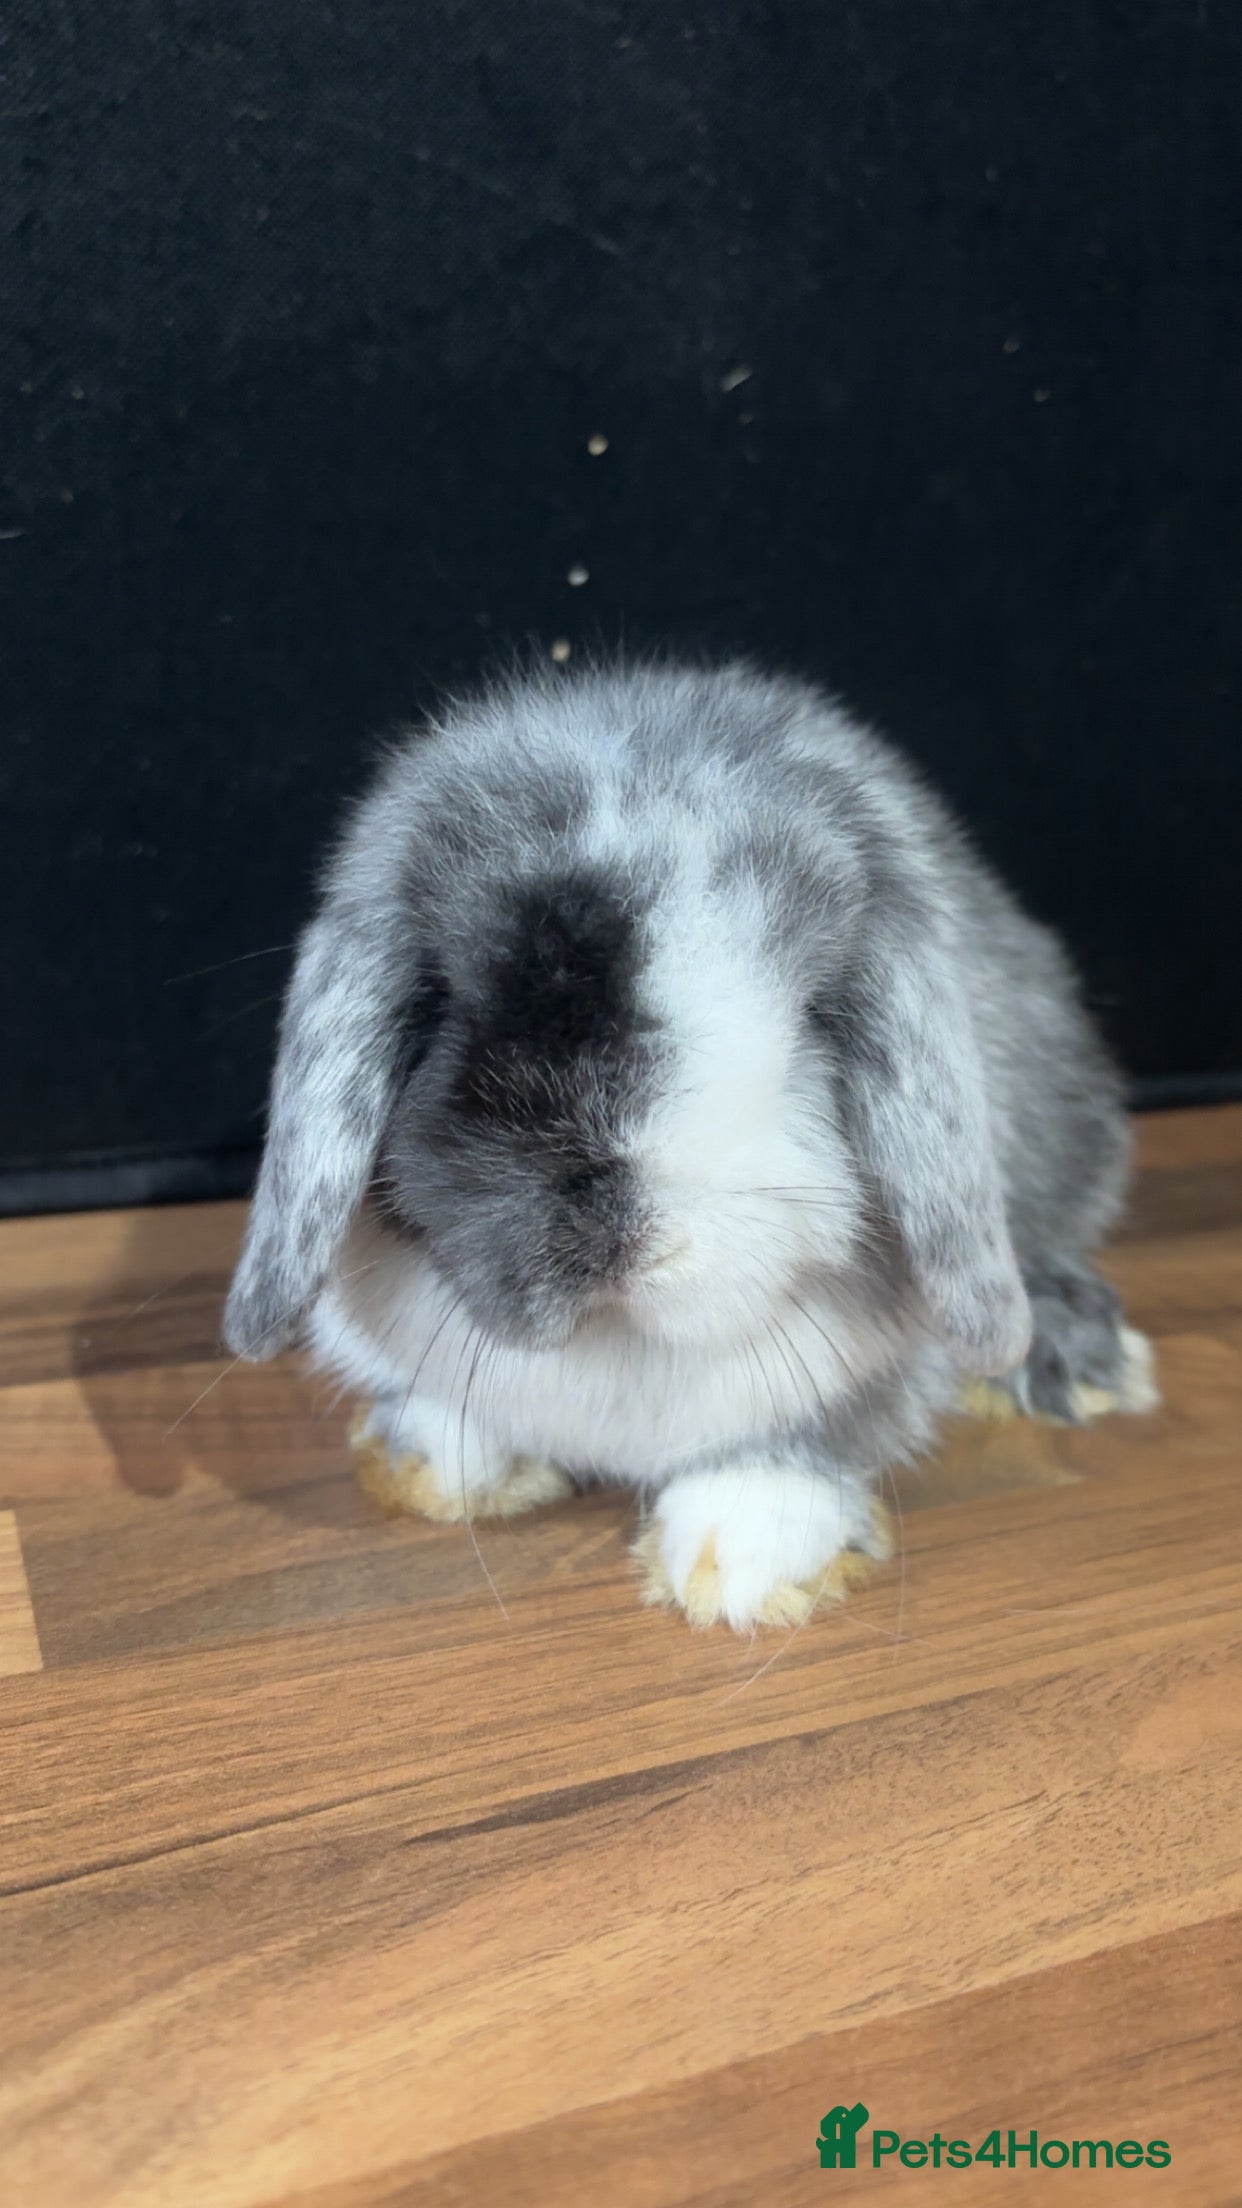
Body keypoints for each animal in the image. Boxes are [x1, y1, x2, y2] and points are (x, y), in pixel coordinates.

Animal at [223, 660, 1157, 1631]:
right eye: (445, 999)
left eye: (814, 1015)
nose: (611, 1229)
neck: (622, 1345)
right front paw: (433, 1460)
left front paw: (746, 1553)